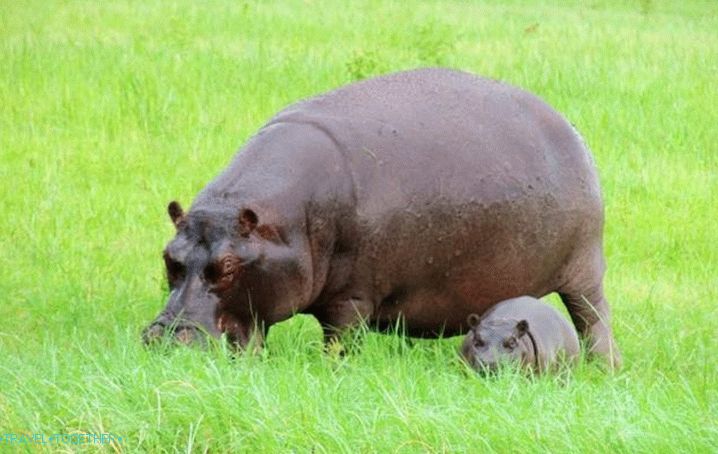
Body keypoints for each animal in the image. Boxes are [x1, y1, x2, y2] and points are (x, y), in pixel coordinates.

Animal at [142, 67, 620, 367]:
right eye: (169, 258)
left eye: (225, 267)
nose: (162, 337)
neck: (278, 226)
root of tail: (567, 125)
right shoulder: (258, 297)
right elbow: (252, 333)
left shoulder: (351, 298)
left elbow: (340, 344)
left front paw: (334, 373)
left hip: (585, 270)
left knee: (594, 319)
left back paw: (605, 370)